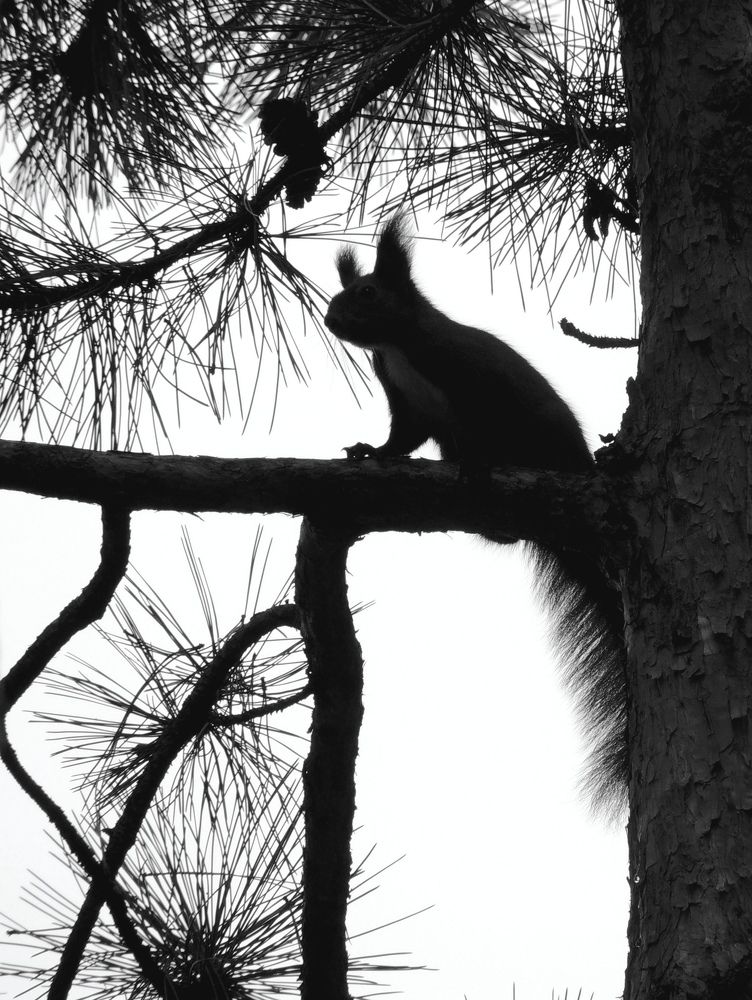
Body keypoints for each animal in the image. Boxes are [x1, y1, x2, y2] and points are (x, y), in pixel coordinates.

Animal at [324, 215, 627, 814]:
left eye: (368, 293)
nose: (330, 317)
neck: (397, 347)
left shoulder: (471, 375)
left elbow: (484, 422)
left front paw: (481, 460)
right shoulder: (407, 405)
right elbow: (402, 439)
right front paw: (372, 451)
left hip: (549, 441)